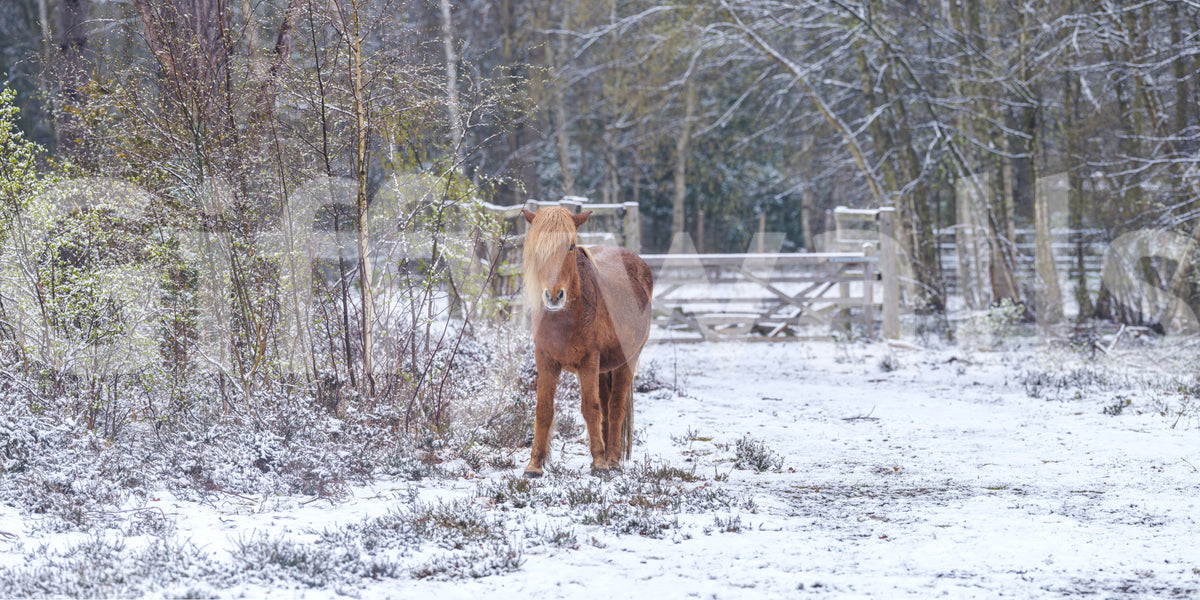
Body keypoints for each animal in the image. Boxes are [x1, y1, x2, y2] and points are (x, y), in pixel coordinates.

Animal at [520, 206, 654, 477]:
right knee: (606, 407)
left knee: (615, 408)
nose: (554, 296)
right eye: (537, 247)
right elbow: (544, 409)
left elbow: (590, 408)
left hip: (627, 361)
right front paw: (534, 465)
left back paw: (612, 459)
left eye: (571, 246)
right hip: (603, 370)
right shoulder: (545, 361)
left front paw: (600, 462)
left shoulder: (588, 362)